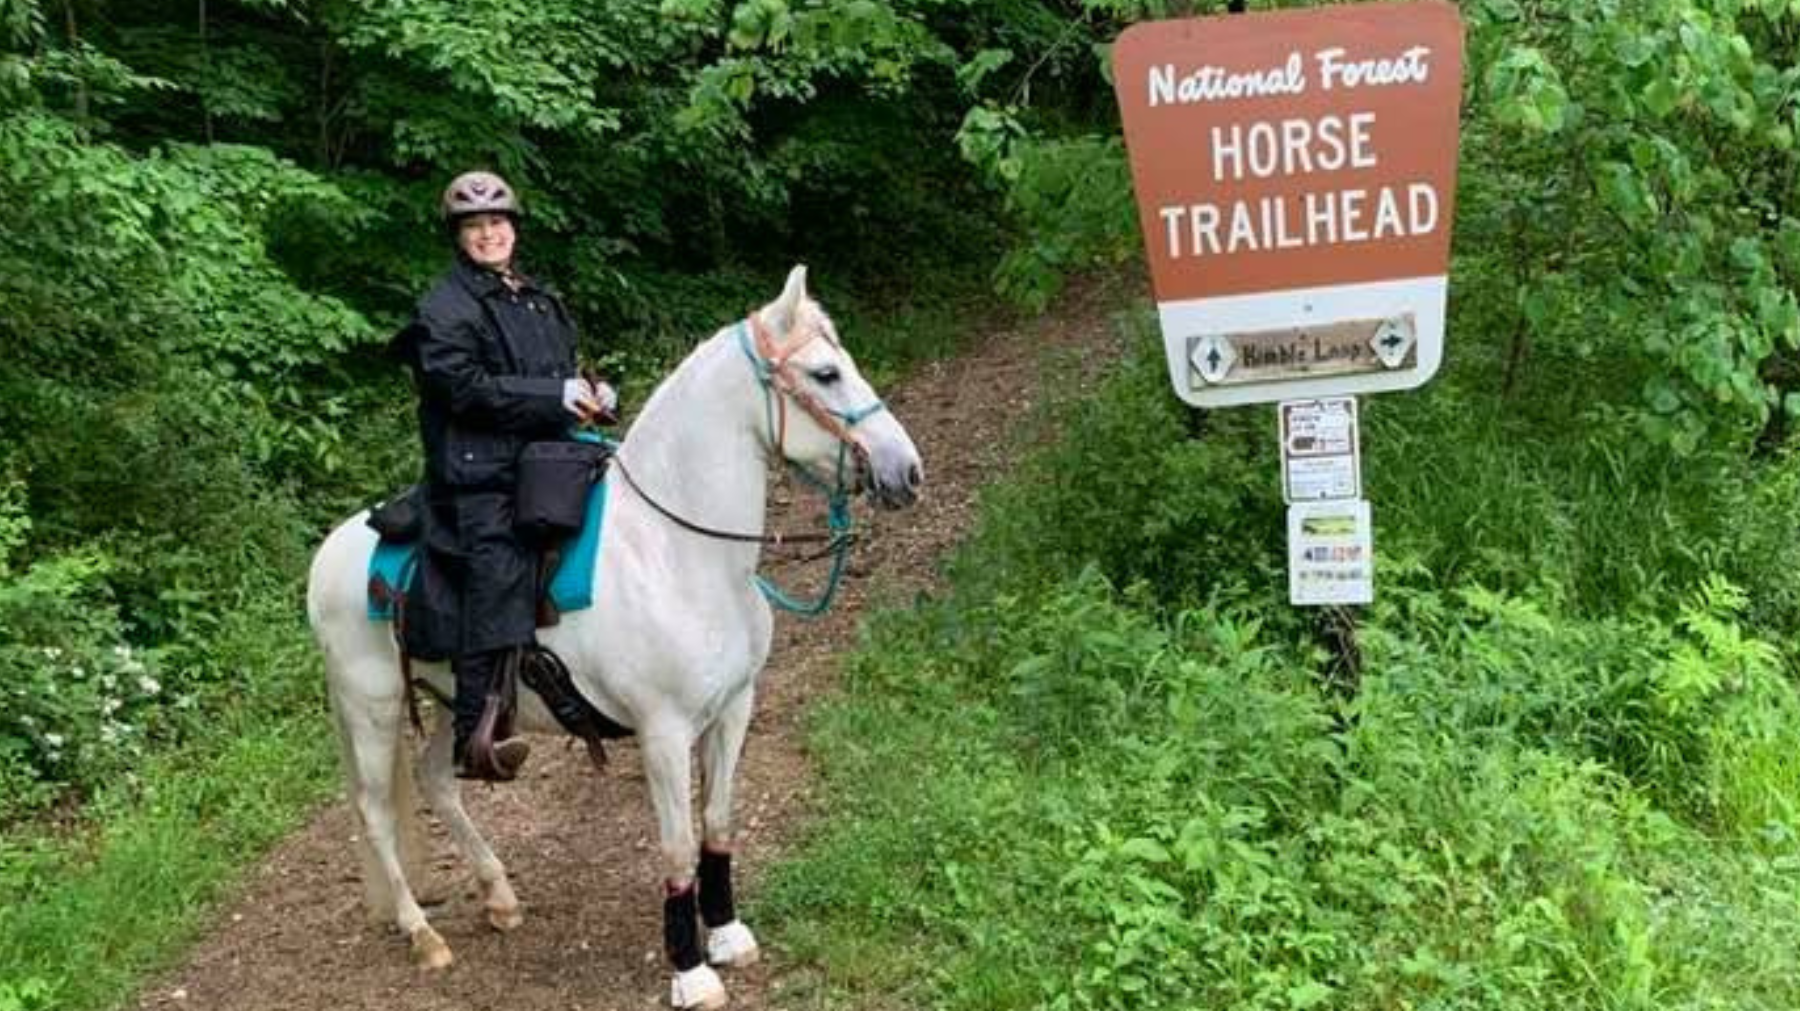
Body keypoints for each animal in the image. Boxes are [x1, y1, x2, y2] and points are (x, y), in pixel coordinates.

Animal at [305, 265, 923, 1009]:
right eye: (825, 373)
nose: (906, 469)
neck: (676, 551)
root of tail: (327, 556)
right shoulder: (664, 732)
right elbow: (677, 847)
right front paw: (690, 970)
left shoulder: (734, 708)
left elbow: (718, 821)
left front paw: (727, 935)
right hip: (370, 706)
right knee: (375, 813)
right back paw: (422, 933)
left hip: (454, 700)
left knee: (436, 780)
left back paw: (500, 894)